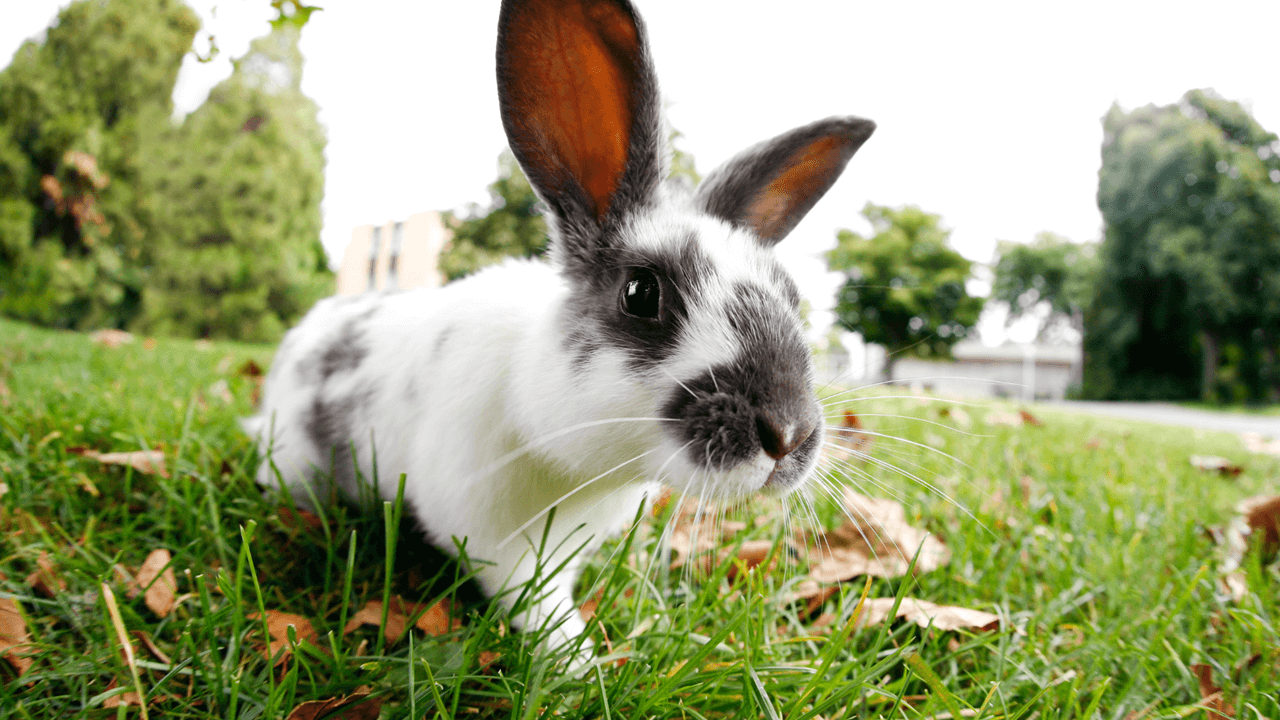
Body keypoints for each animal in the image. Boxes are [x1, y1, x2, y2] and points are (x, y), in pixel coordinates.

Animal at [244, 0, 875, 650]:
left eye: (791, 295)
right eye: (640, 293)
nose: (789, 435)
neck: (593, 467)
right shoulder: (492, 538)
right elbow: (535, 602)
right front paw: (576, 658)